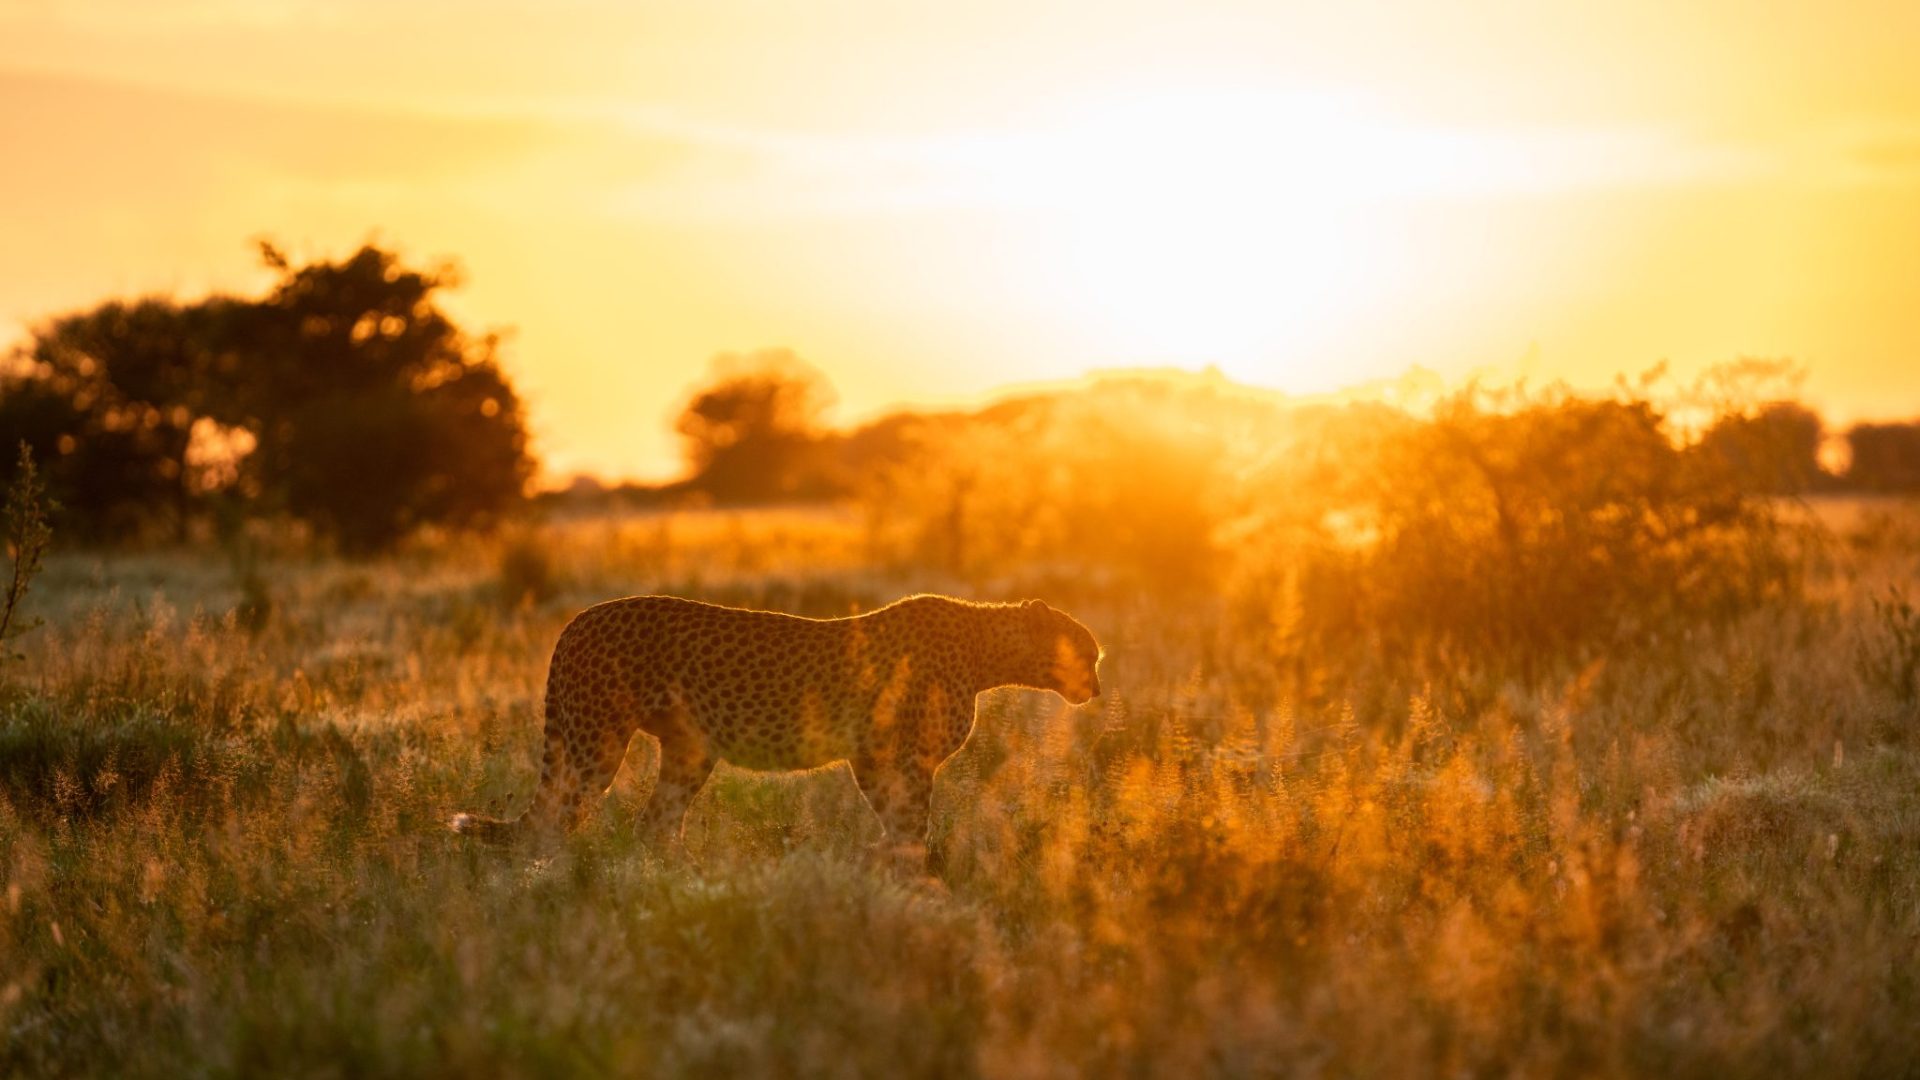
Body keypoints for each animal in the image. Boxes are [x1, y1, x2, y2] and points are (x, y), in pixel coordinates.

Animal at [451, 594, 1102, 851]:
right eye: (1089, 652)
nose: (1096, 687)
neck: (990, 651)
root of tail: (578, 618)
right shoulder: (899, 758)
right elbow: (911, 827)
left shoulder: (875, 758)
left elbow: (898, 824)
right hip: (596, 744)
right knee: (554, 826)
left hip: (688, 751)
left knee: (653, 824)